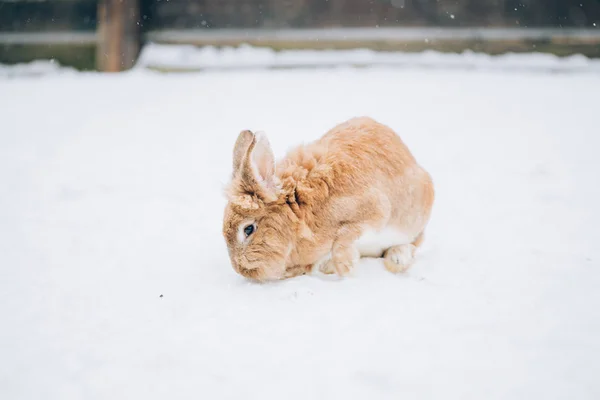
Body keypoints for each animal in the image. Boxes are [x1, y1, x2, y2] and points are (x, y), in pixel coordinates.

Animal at [223, 115, 434, 282]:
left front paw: (346, 266)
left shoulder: (375, 211)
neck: (300, 210)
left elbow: (343, 236)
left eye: (248, 229)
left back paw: (397, 259)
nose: (242, 271)